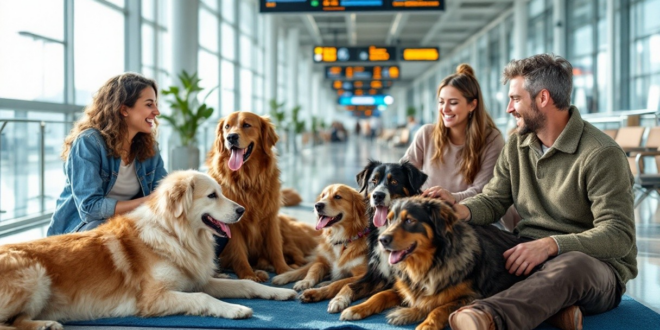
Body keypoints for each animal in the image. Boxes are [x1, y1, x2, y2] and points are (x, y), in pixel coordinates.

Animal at [0, 170, 296, 330]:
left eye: (222, 193)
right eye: (212, 195)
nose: (242, 210)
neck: (175, 234)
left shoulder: (195, 280)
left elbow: (246, 284)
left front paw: (279, 292)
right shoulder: (154, 298)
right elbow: (203, 298)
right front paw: (235, 310)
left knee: (18, 320)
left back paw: (45, 323)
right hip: (35, 274)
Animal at [340, 197, 524, 328]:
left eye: (409, 220)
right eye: (389, 220)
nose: (381, 240)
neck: (427, 264)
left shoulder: (473, 296)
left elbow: (438, 307)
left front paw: (420, 321)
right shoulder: (406, 286)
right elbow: (380, 295)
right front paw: (356, 309)